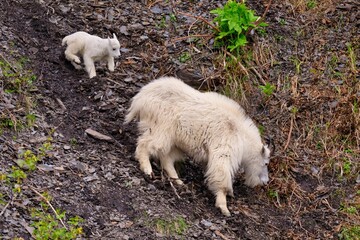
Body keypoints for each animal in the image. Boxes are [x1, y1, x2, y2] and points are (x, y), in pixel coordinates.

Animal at [125, 76, 272, 216]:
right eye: (265, 163)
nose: (265, 181)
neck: (242, 136)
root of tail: (140, 98)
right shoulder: (224, 150)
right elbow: (221, 175)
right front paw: (224, 206)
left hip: (174, 141)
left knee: (166, 158)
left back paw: (178, 181)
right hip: (161, 127)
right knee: (145, 144)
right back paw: (147, 169)